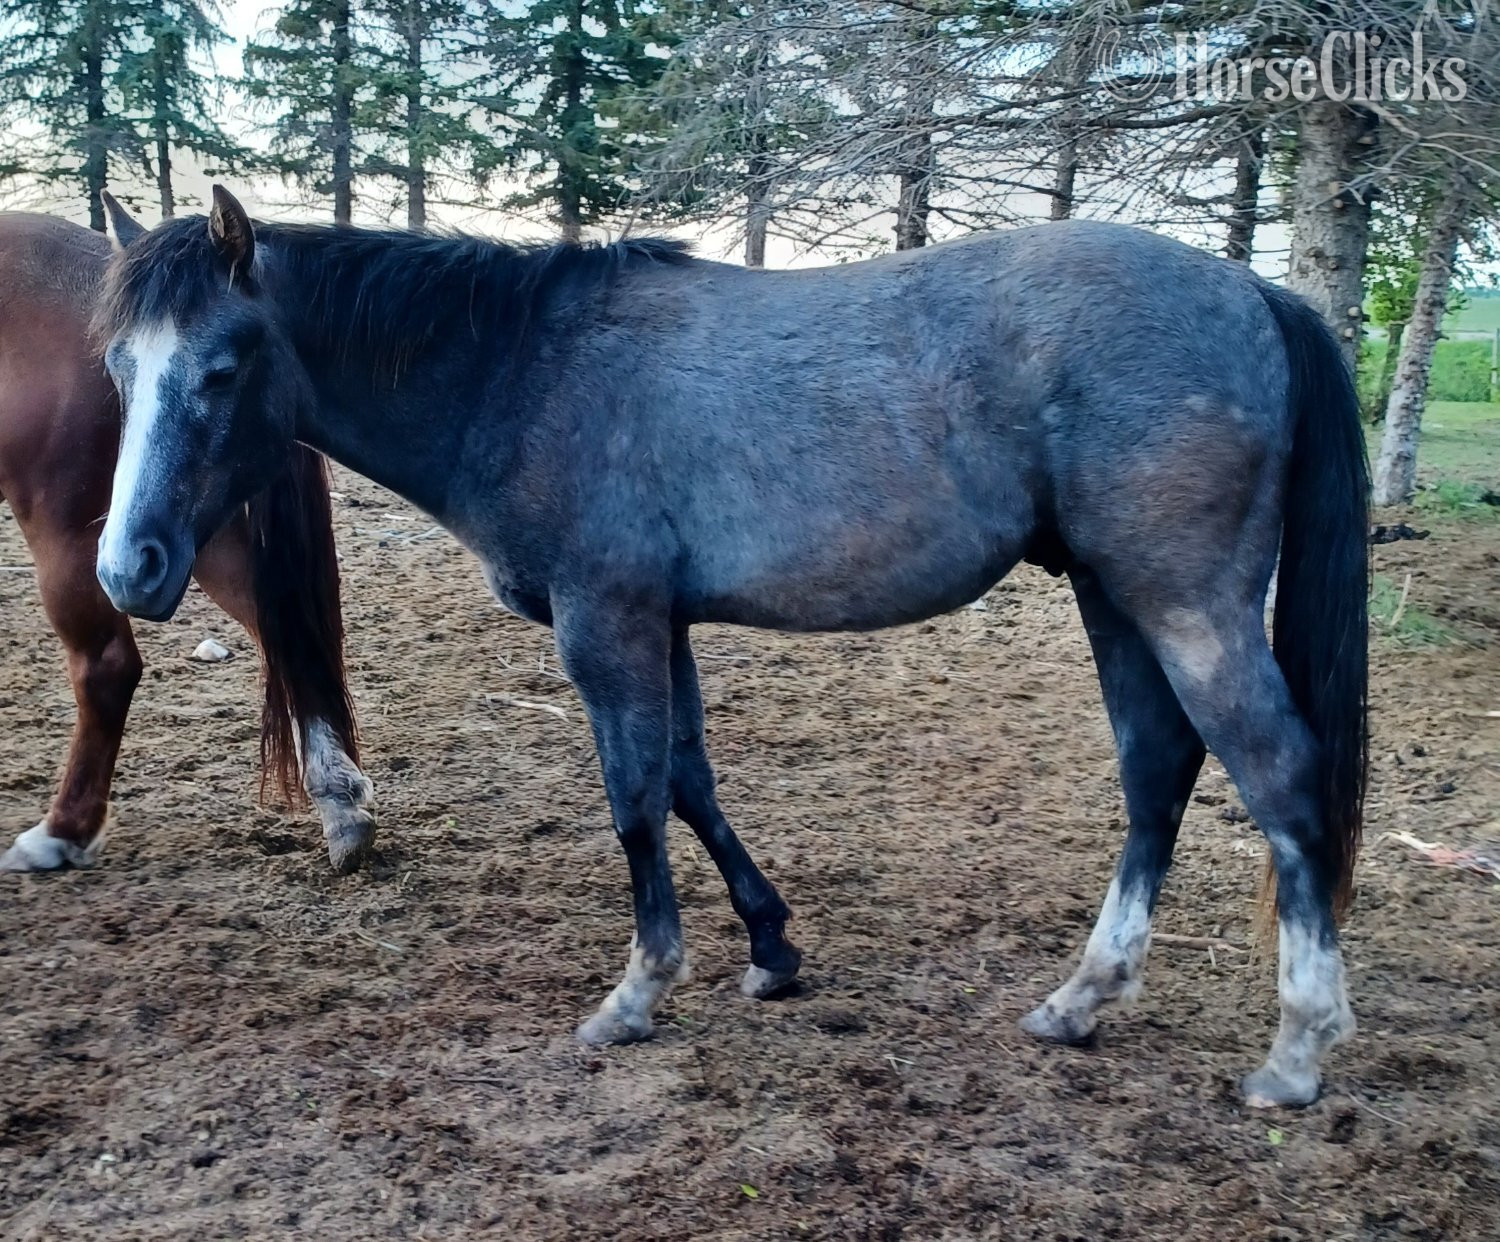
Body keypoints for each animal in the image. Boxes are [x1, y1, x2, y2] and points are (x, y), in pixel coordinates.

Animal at [0, 211, 375, 874]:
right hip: (180, 530)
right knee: (285, 632)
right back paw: (342, 805)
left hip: (87, 536)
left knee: (108, 668)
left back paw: (63, 830)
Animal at [92, 186, 1369, 1109]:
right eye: (118, 366)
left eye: (220, 367)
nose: (129, 569)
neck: (525, 369)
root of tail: (1256, 291)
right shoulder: (664, 621)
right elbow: (690, 781)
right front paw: (770, 946)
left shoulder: (606, 620)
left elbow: (633, 799)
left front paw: (638, 992)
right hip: (1115, 596)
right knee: (1158, 774)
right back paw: (1083, 999)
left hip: (1185, 603)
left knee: (1280, 781)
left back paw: (1299, 1055)